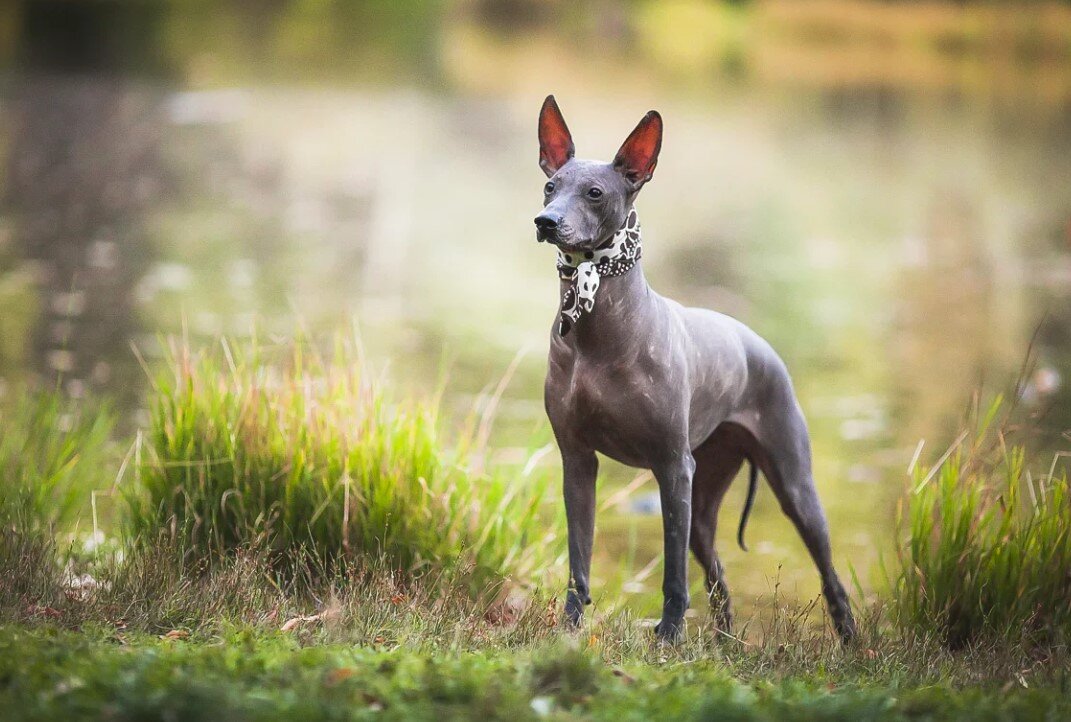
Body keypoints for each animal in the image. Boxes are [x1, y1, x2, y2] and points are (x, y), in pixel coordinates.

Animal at [535, 94, 861, 642]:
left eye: (595, 193)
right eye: (550, 186)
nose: (546, 221)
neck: (597, 334)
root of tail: (759, 342)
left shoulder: (671, 468)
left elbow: (672, 573)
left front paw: (668, 635)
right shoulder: (577, 462)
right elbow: (580, 559)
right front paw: (571, 629)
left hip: (793, 487)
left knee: (829, 574)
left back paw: (852, 642)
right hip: (704, 500)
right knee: (718, 575)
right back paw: (726, 641)